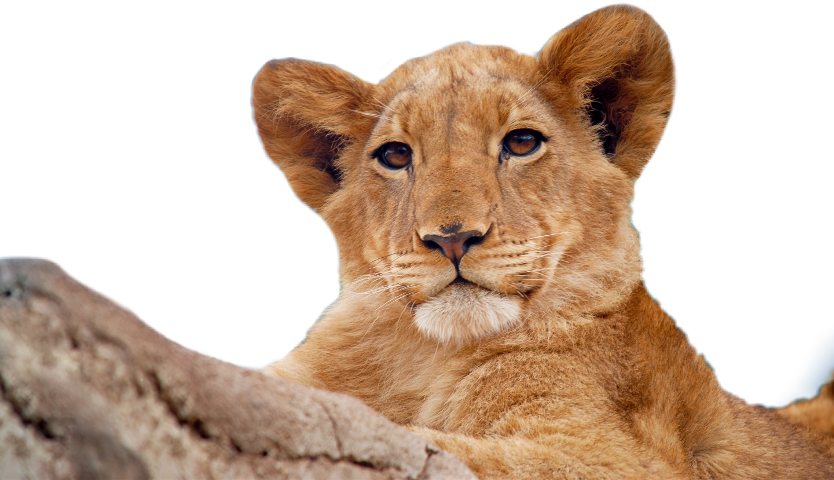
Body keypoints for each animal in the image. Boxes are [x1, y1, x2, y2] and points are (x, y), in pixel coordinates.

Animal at [250, 3, 834, 478]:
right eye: (395, 156)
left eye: (522, 143)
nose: (453, 238)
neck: (424, 358)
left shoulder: (615, 458)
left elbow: (428, 448)